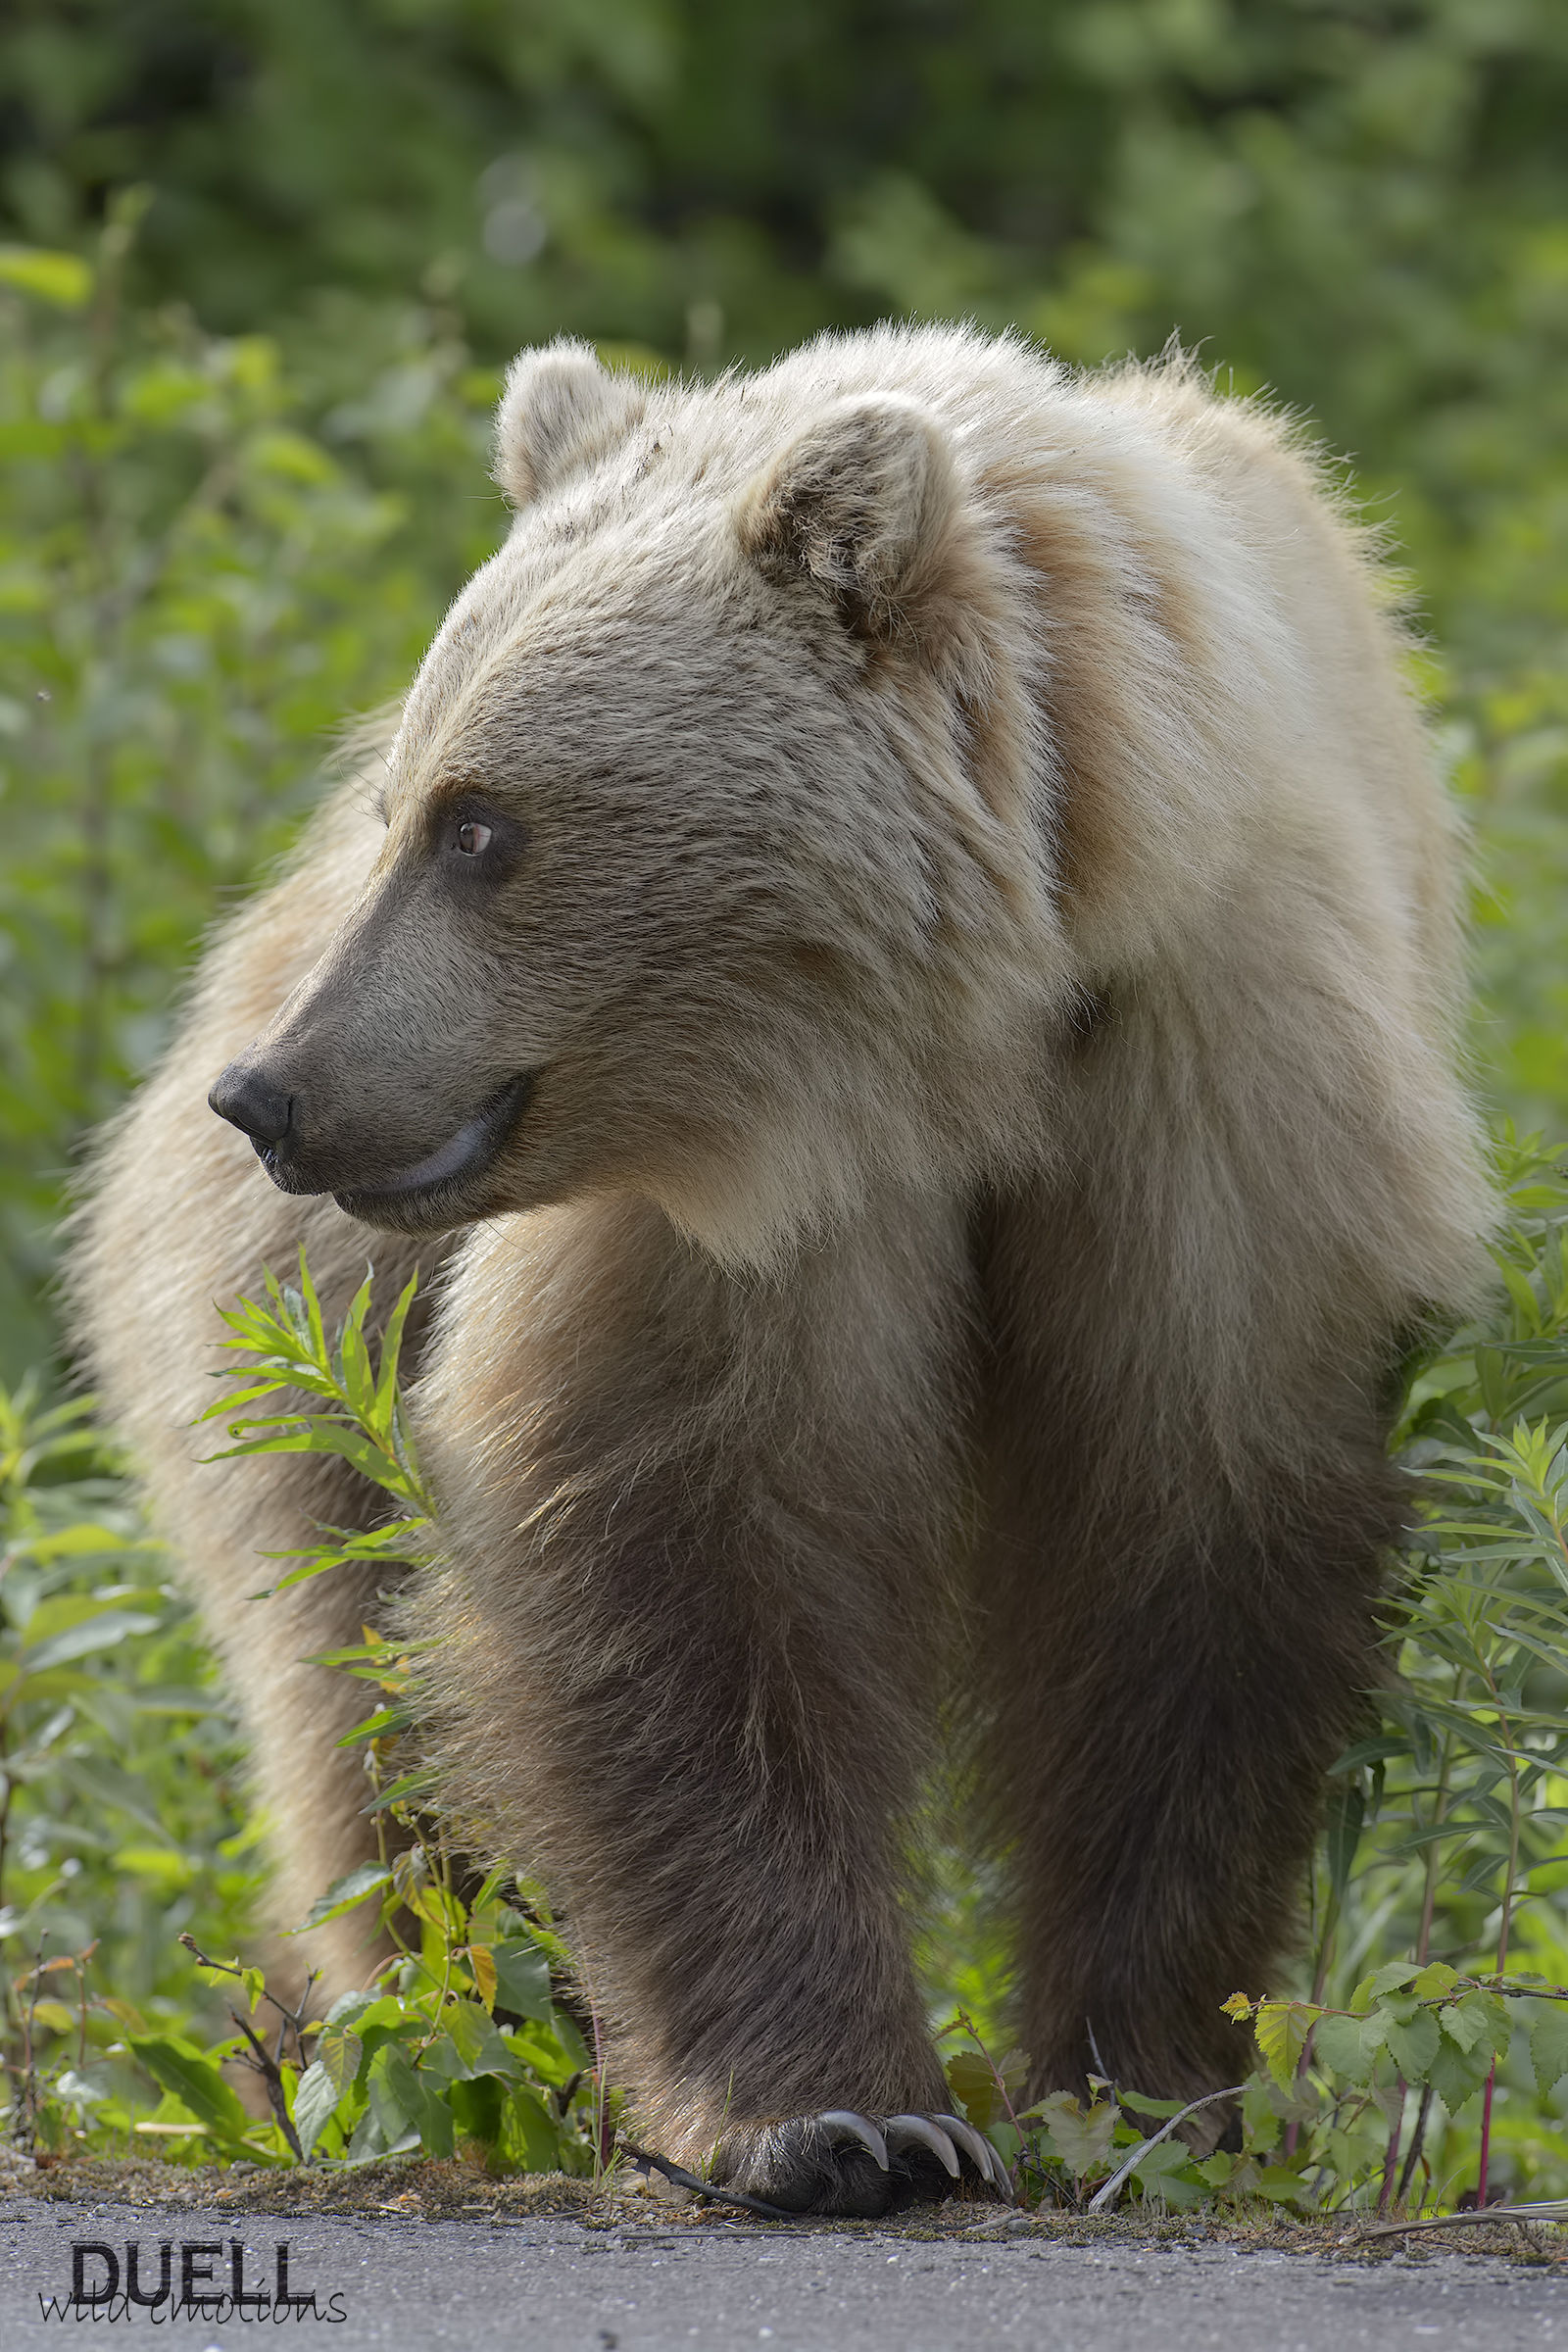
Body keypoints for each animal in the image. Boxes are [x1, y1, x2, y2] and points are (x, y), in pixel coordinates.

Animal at [71, 322, 1492, 2216]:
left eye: (480, 825)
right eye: (401, 804)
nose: (271, 1095)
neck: (976, 1031)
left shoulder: (1218, 1090)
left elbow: (1193, 1550)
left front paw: (1143, 2087)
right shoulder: (734, 1199)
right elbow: (689, 1535)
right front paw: (834, 2118)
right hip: (275, 1326)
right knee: (348, 1710)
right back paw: (422, 2045)